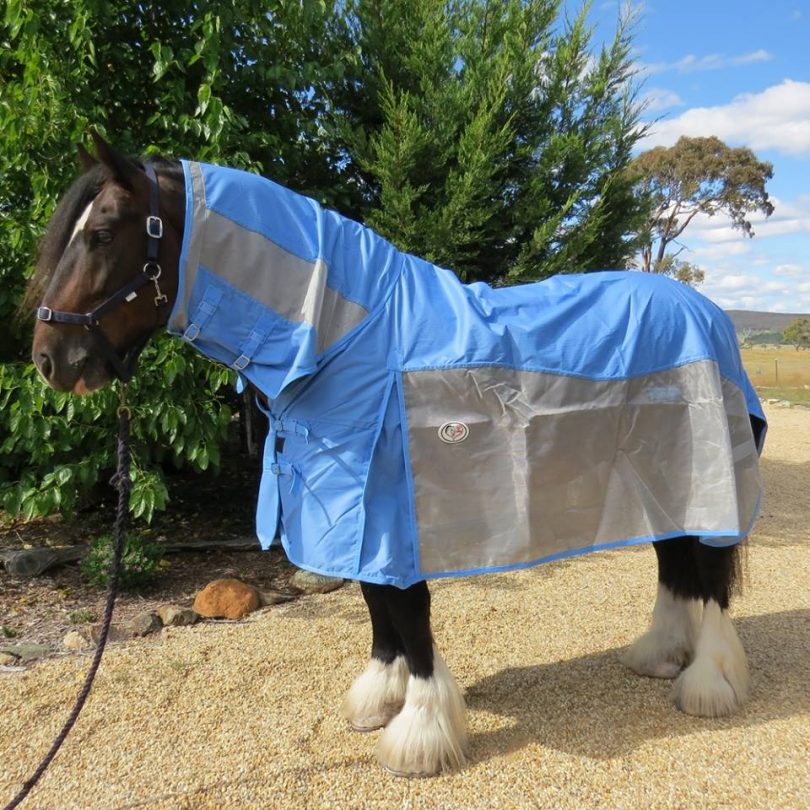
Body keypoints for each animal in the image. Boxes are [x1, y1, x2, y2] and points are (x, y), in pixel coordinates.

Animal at [27, 134, 766, 778]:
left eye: (102, 233)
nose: (49, 360)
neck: (348, 333)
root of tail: (708, 312)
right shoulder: (358, 521)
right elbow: (377, 608)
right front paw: (379, 699)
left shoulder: (393, 517)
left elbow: (407, 613)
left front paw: (420, 736)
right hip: (658, 481)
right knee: (676, 567)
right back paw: (659, 656)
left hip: (700, 478)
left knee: (706, 580)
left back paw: (707, 684)